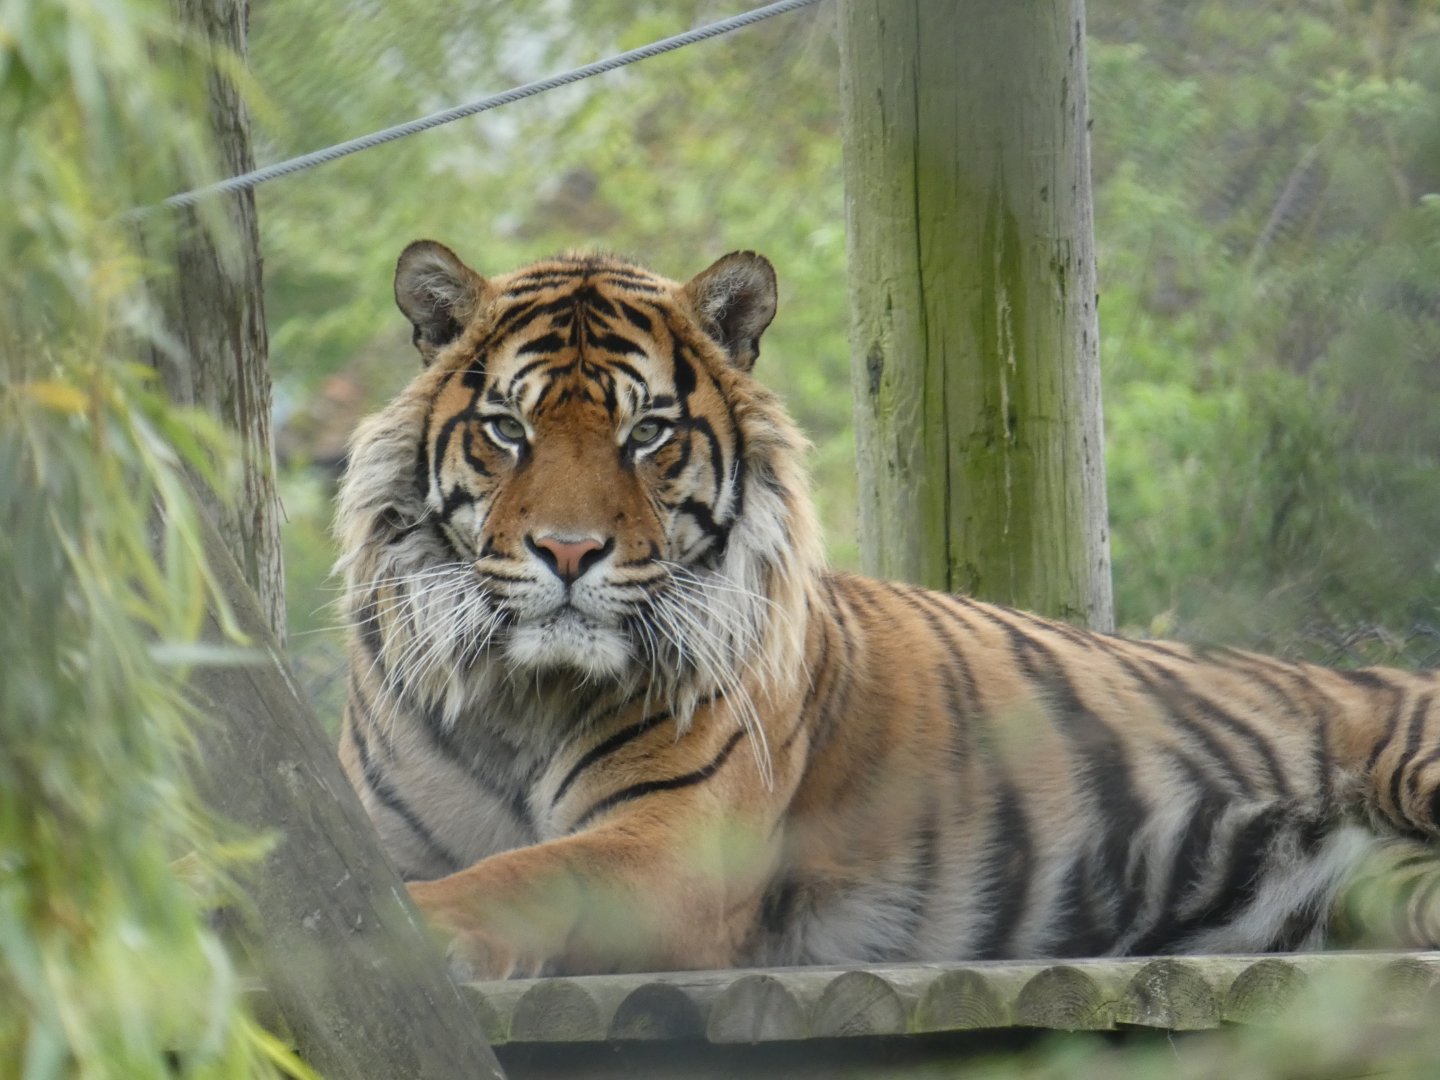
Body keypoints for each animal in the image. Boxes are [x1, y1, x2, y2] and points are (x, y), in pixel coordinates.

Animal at [336, 239, 1440, 980]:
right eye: (506, 430)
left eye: (647, 433)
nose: (568, 553)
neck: (521, 693)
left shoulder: (673, 845)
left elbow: (523, 875)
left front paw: (413, 932)